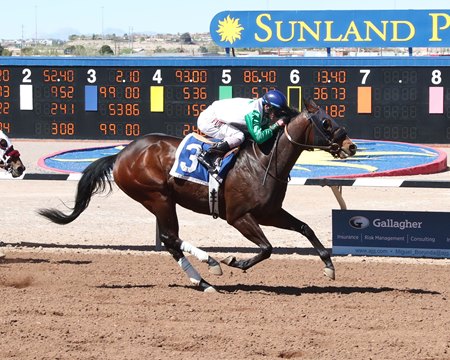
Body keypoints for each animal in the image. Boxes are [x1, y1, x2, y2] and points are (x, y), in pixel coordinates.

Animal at [38, 98, 356, 292]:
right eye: (326, 123)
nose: (351, 146)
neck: (264, 160)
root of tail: (120, 155)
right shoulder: (238, 216)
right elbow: (266, 248)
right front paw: (235, 262)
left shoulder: (270, 212)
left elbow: (305, 228)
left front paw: (329, 267)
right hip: (158, 197)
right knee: (171, 238)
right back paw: (211, 265)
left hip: (160, 200)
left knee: (171, 242)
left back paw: (203, 282)